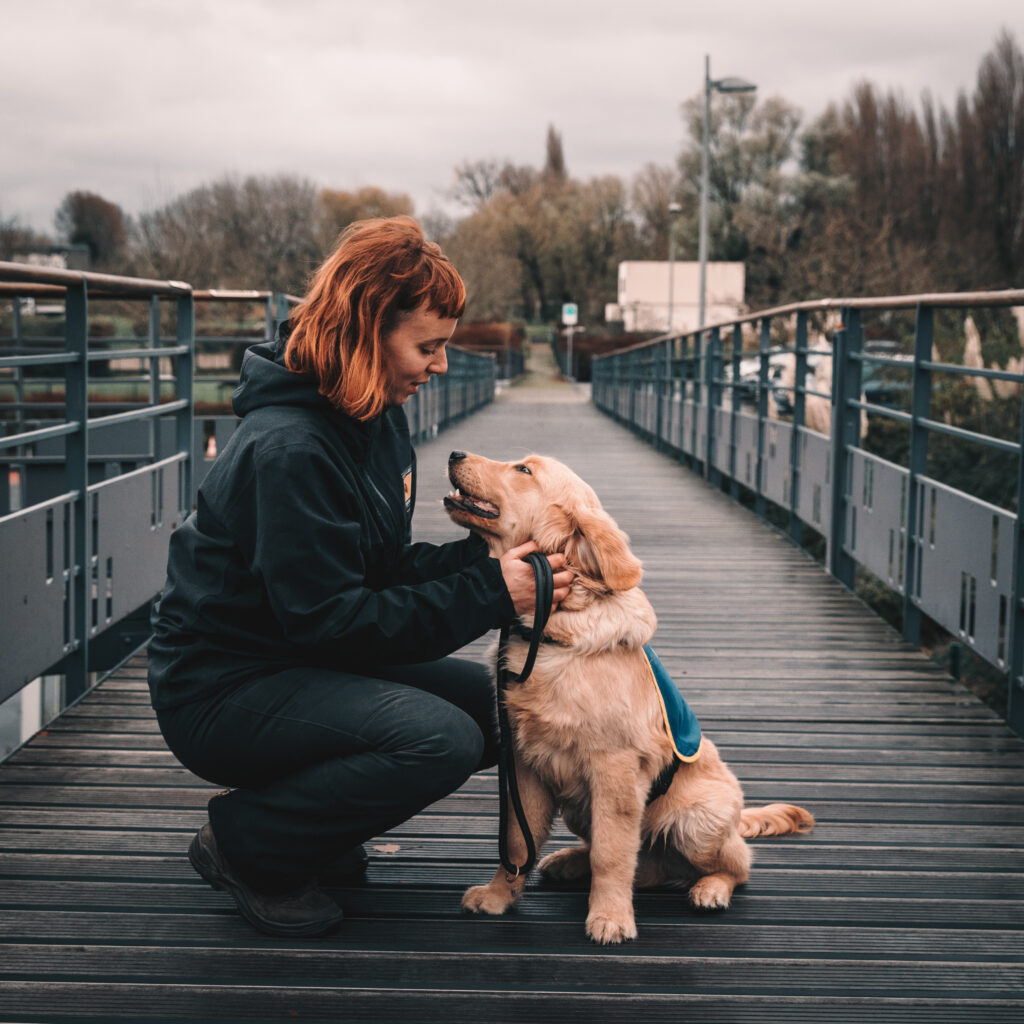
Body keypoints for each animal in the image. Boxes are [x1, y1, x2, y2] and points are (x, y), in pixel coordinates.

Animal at [444, 448, 811, 942]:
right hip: (583, 809)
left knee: (734, 864)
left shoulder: (614, 768)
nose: (455, 454)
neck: (552, 628)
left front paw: (610, 917)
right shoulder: (523, 763)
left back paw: (711, 888)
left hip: (697, 819)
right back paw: (569, 862)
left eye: (524, 470)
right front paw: (499, 897)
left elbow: (612, 853)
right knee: (648, 865)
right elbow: (518, 841)